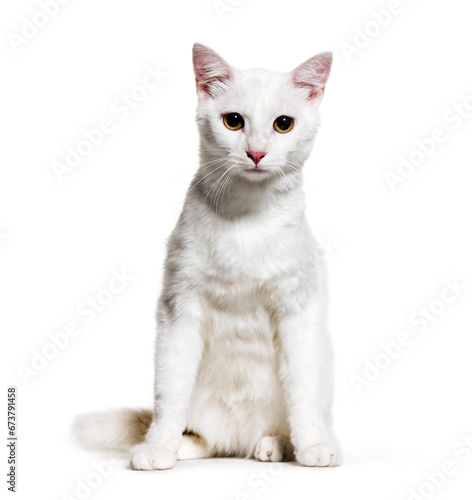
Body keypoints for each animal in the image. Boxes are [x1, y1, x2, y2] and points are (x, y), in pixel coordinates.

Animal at [73, 43, 340, 468]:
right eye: (233, 121)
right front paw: (157, 446)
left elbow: (304, 389)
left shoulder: (299, 310)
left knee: (279, 424)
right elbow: (169, 391)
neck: (247, 215)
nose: (256, 153)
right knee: (205, 437)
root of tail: (238, 441)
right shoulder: (179, 309)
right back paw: (182, 446)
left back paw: (275, 445)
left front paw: (313, 445)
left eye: (284, 124)